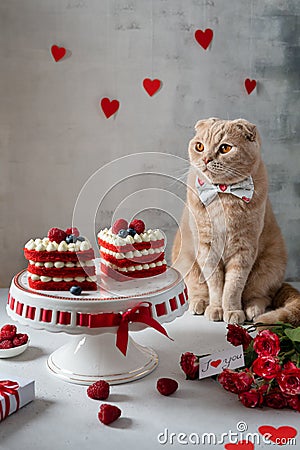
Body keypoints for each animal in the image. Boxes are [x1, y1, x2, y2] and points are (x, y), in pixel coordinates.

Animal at [172, 118, 300, 326]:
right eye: (199, 146)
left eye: (225, 148)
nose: (206, 159)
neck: (223, 194)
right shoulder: (207, 247)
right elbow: (216, 285)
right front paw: (217, 308)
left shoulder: (244, 248)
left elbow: (233, 285)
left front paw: (231, 311)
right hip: (186, 263)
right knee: (196, 289)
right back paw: (199, 303)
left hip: (269, 268)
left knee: (262, 295)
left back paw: (252, 309)